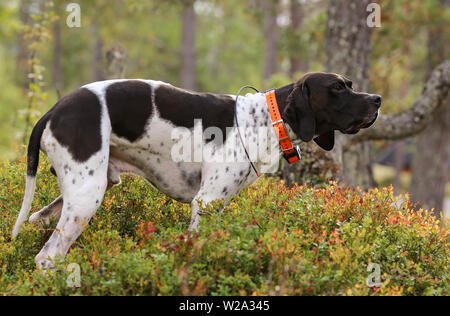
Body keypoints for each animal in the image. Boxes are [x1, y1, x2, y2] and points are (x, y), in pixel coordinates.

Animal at [12, 73, 382, 268]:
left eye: (350, 84)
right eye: (337, 88)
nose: (377, 99)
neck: (265, 118)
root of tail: (53, 111)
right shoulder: (205, 203)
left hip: (87, 189)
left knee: (38, 221)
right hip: (86, 197)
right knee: (47, 256)